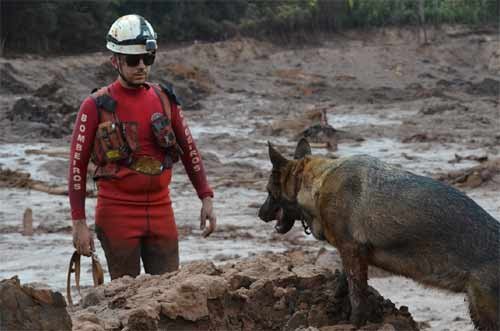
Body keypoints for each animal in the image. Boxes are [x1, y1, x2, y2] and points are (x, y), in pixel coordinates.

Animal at [260, 139, 498, 330]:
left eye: (268, 191)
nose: (260, 214)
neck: (316, 182)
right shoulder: (353, 253)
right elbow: (344, 284)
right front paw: (334, 306)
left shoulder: (351, 250)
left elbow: (357, 296)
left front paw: (354, 323)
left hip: (484, 312)